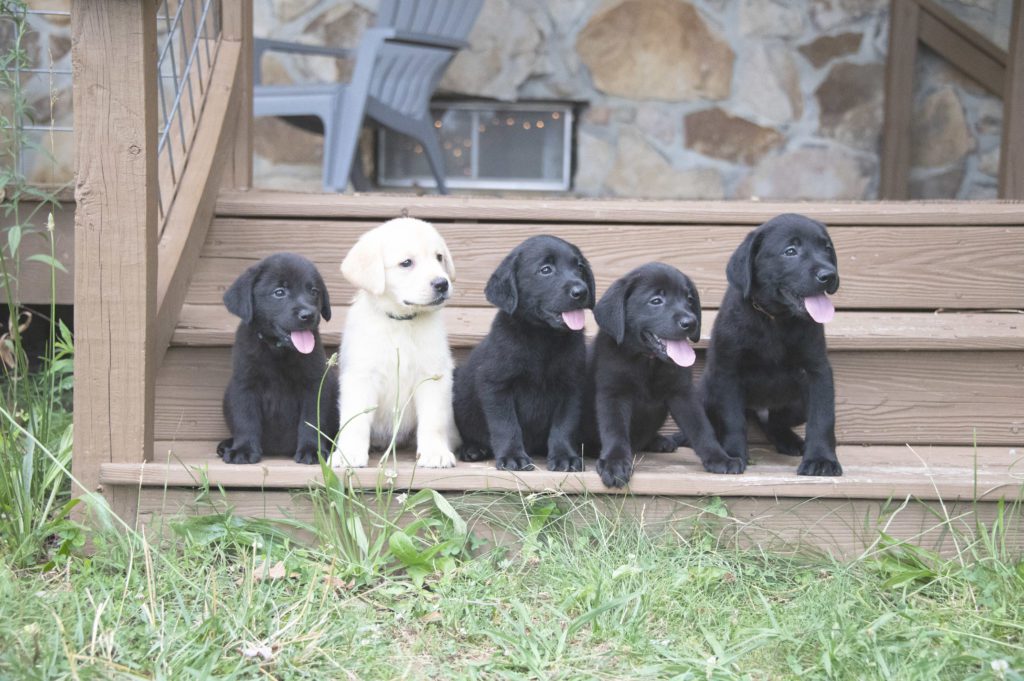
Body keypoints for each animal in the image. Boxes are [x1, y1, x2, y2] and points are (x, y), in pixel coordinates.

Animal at [217, 251, 339, 464]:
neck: (278, 350)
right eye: (279, 292)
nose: (309, 314)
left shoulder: (314, 385)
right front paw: (243, 449)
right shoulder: (244, 384)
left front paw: (312, 450)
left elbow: (311, 421)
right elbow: (245, 420)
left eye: (314, 291)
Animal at [329, 216, 458, 466]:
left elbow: (433, 420)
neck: (401, 322)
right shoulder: (361, 376)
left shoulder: (432, 375)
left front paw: (434, 452)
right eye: (406, 263)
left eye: (439, 257)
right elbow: (355, 421)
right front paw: (348, 454)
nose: (442, 283)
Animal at [454, 236, 593, 471]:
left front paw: (565, 456)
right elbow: (506, 425)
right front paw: (512, 457)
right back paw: (472, 449)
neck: (543, 338)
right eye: (546, 270)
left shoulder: (572, 386)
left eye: (580, 267)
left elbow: (564, 425)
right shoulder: (496, 385)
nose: (581, 291)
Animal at [585, 260, 745, 483]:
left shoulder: (682, 394)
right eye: (656, 301)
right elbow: (614, 430)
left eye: (689, 299)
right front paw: (614, 463)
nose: (691, 322)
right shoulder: (613, 393)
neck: (648, 362)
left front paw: (720, 458)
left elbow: (702, 429)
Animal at [700, 215, 843, 475]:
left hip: (797, 403)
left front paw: (821, 459)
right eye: (790, 251)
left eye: (826, 248)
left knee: (775, 423)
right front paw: (733, 454)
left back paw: (791, 441)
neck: (774, 319)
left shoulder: (817, 371)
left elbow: (823, 418)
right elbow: (732, 419)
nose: (829, 275)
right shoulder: (727, 372)